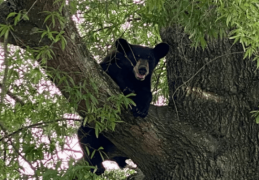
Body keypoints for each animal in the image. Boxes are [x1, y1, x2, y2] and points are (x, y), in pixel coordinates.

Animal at [78, 38, 170, 174]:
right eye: (136, 56)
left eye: (150, 58)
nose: (142, 69)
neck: (132, 77)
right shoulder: (109, 65)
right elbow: (110, 72)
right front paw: (127, 90)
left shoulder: (144, 83)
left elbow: (147, 93)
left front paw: (141, 108)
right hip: (92, 128)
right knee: (86, 137)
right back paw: (98, 166)